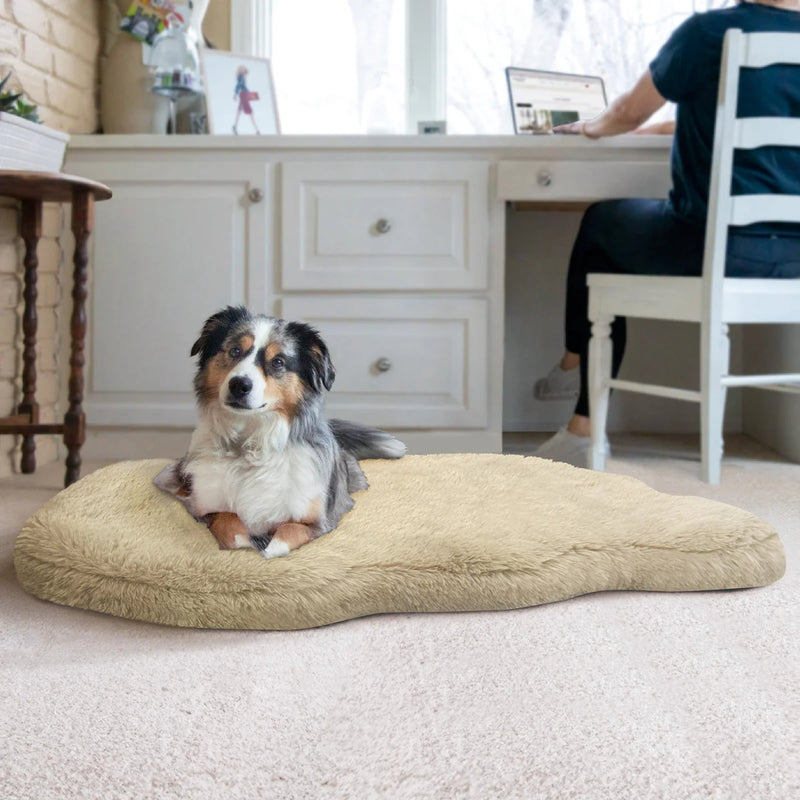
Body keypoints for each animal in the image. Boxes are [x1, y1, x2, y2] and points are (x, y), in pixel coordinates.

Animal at [155, 306, 406, 556]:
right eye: (235, 350)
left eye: (277, 361)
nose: (239, 385)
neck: (250, 442)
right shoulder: (199, 503)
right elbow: (231, 527)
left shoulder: (321, 519)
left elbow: (284, 536)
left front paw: (267, 548)